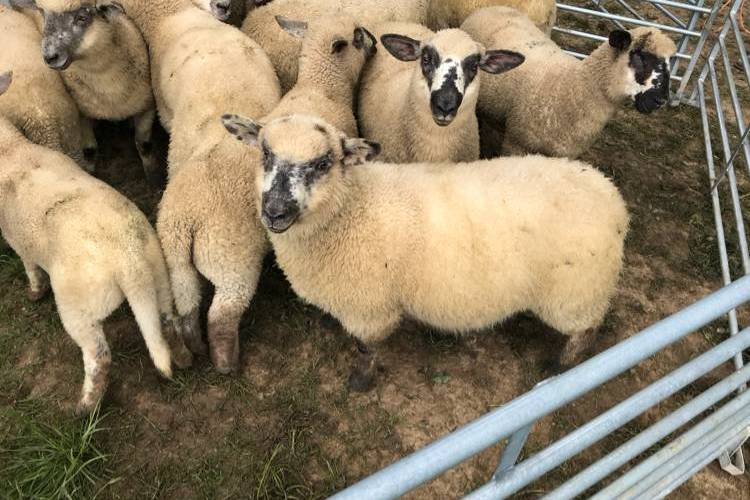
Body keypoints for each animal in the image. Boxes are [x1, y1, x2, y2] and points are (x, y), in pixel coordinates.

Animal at [0, 71, 192, 413]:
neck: (10, 149)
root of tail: (130, 264)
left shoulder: (17, 239)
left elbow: (30, 268)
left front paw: (34, 293)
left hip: (80, 306)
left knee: (98, 356)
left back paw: (87, 405)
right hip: (158, 272)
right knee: (167, 320)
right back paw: (181, 357)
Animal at [160, 14, 372, 373]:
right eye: (357, 37)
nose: (374, 42)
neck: (321, 88)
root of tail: (182, 223)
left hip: (177, 266)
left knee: (183, 309)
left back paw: (190, 351)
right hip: (230, 260)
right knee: (221, 316)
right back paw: (226, 364)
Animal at [222, 114, 629, 390]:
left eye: (323, 164)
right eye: (265, 153)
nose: (274, 211)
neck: (351, 209)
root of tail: (614, 199)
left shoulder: (372, 309)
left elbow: (367, 350)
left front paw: (360, 382)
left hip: (575, 293)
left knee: (585, 331)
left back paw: (561, 367)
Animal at [462, 7, 677, 159]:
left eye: (670, 62)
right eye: (639, 56)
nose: (661, 100)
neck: (574, 86)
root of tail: (493, 8)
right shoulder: (517, 144)